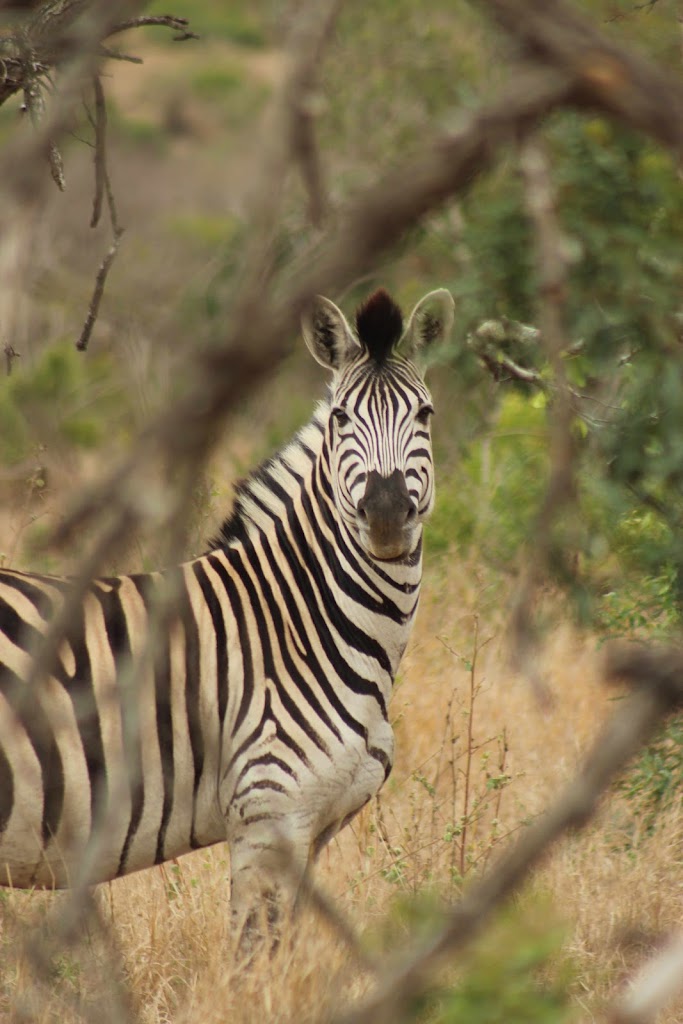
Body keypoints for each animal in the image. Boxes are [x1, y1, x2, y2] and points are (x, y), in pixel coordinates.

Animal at [0, 286, 454, 940]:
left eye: (425, 415)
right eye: (341, 419)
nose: (389, 513)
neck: (305, 622)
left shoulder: (314, 829)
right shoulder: (269, 814)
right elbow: (252, 957)